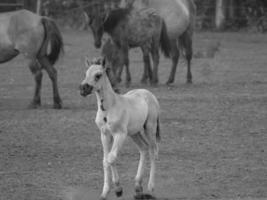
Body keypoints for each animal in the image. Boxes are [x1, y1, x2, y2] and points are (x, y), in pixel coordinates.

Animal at [79, 57, 161, 199]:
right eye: (86, 74)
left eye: (98, 75)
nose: (83, 89)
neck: (109, 108)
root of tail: (148, 93)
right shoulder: (104, 134)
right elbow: (105, 160)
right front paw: (105, 192)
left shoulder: (120, 134)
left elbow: (111, 157)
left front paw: (118, 189)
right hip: (134, 133)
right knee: (143, 148)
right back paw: (138, 186)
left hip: (150, 128)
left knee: (153, 151)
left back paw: (150, 187)